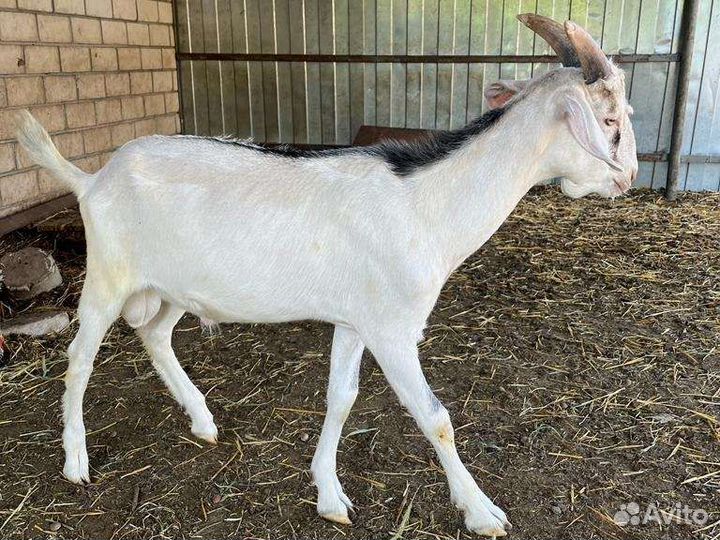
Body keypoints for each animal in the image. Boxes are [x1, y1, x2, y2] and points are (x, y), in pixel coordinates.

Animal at [16, 15, 637, 537]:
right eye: (608, 120)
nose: (628, 176)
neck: (423, 205)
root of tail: (91, 179)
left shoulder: (355, 319)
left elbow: (341, 397)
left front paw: (329, 495)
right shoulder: (393, 327)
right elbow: (434, 417)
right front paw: (481, 512)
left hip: (168, 285)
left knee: (155, 334)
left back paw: (203, 420)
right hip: (108, 275)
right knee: (81, 356)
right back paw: (76, 460)